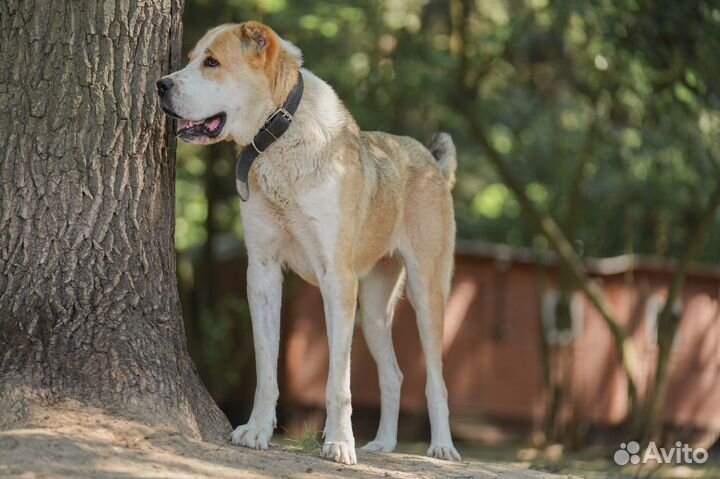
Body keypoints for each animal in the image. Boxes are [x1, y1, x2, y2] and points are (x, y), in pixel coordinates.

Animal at [158, 21, 462, 464]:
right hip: (373, 310)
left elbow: (338, 382)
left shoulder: (337, 279)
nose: (160, 85)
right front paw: (256, 430)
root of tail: (431, 161)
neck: (278, 138)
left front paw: (338, 443)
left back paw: (441, 446)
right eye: (191, 58)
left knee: (436, 379)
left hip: (426, 293)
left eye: (212, 63)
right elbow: (266, 368)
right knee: (393, 374)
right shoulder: (262, 271)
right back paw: (383, 443)